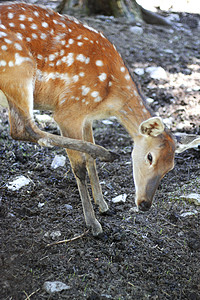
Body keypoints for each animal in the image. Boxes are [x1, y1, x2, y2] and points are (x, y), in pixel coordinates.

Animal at [0, 2, 198, 237]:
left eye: (171, 167)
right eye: (150, 157)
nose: (144, 204)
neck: (109, 98)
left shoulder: (87, 117)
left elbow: (89, 160)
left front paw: (103, 205)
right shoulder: (69, 109)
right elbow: (79, 166)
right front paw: (92, 223)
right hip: (19, 69)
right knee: (23, 128)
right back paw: (108, 153)